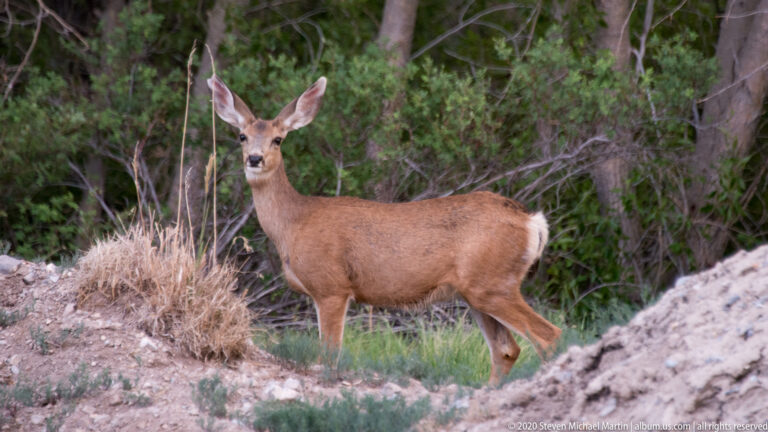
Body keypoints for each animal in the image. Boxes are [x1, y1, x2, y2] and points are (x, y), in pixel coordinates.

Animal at [207, 74, 562, 385]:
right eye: (242, 136)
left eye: (278, 139)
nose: (255, 158)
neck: (294, 224)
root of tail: (532, 221)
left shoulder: (332, 286)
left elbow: (329, 354)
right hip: (477, 291)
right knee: (506, 349)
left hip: (494, 283)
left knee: (548, 336)